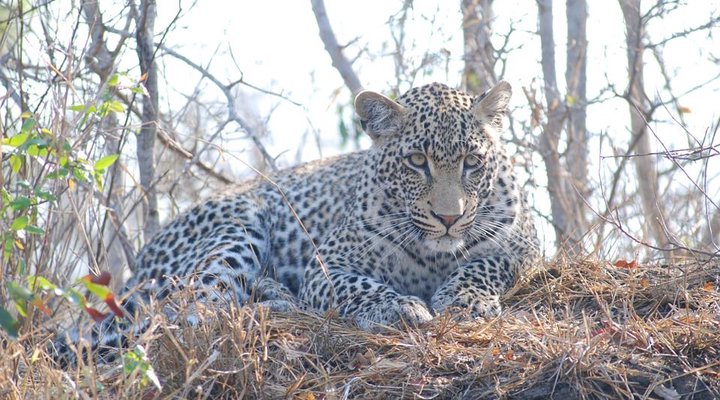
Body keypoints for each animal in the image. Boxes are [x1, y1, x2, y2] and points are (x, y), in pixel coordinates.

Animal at [54, 81, 538, 363]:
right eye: (417, 162)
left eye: (472, 162)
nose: (449, 217)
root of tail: (140, 262)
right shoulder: (326, 268)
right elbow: (357, 285)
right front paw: (396, 305)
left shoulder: (524, 244)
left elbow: (486, 262)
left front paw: (465, 298)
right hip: (239, 224)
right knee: (192, 309)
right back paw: (274, 303)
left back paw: (273, 295)